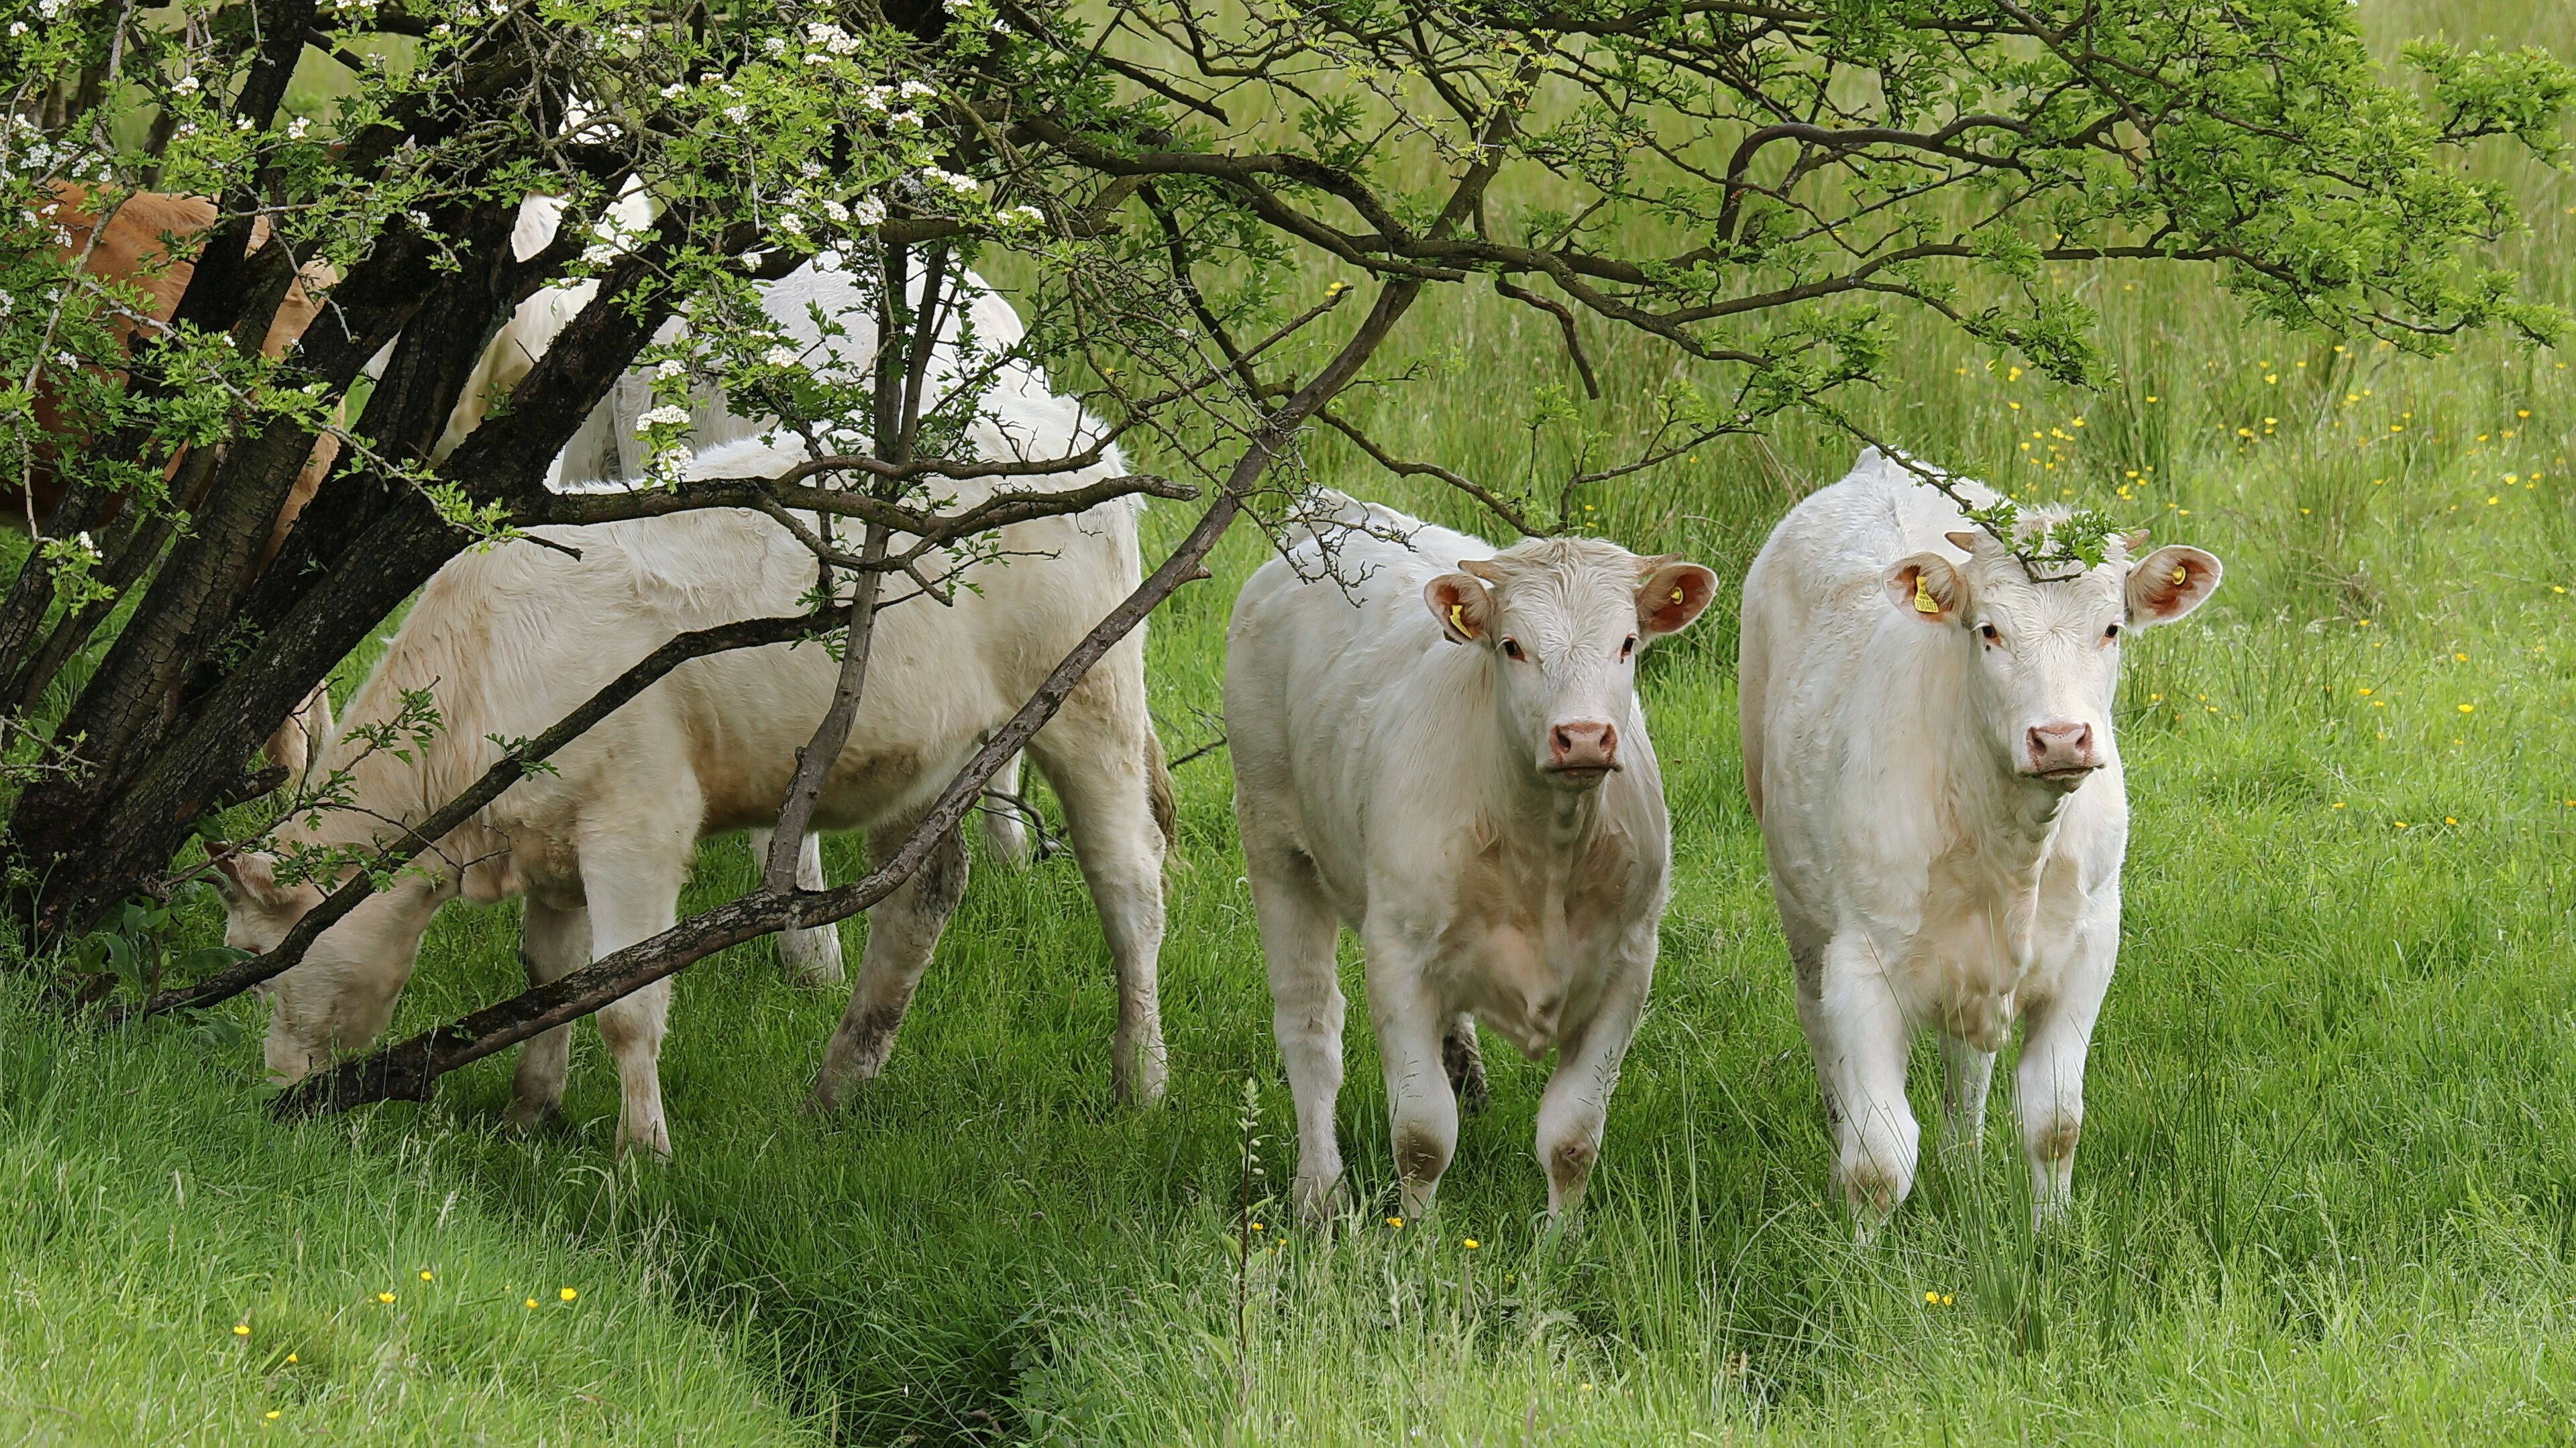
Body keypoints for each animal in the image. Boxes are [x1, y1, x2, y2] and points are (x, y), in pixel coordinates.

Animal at [211, 384, 1175, 1160]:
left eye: (257, 956)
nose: (277, 1084)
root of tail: (1066, 422)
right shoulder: (552, 839)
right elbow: (546, 979)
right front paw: (529, 1114)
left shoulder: (636, 826)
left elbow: (624, 1004)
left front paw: (643, 1156)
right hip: (931, 747)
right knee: (922, 896)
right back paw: (836, 1087)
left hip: (1090, 699)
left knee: (1128, 882)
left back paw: (1142, 1080)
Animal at [1226, 493, 1718, 1220]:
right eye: (1512, 646)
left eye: (1628, 643)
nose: (1582, 736)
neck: (1544, 852)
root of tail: (1340, 511)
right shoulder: (1398, 954)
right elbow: (1422, 1132)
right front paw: (1417, 1233)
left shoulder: (1629, 963)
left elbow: (1573, 1135)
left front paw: (1561, 1240)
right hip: (1273, 840)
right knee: (1309, 1020)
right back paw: (1319, 1191)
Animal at [1738, 448, 2222, 1231]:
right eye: (1989, 629)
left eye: (2112, 628)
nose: (2061, 737)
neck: (2009, 842)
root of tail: (1874, 465)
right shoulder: (1861, 966)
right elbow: (1878, 1157)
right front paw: (1857, 1257)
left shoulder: (2088, 950)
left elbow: (2054, 1120)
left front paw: (2054, 1235)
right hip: (1801, 908)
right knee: (1821, 1035)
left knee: (1966, 1067)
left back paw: (1962, 1164)